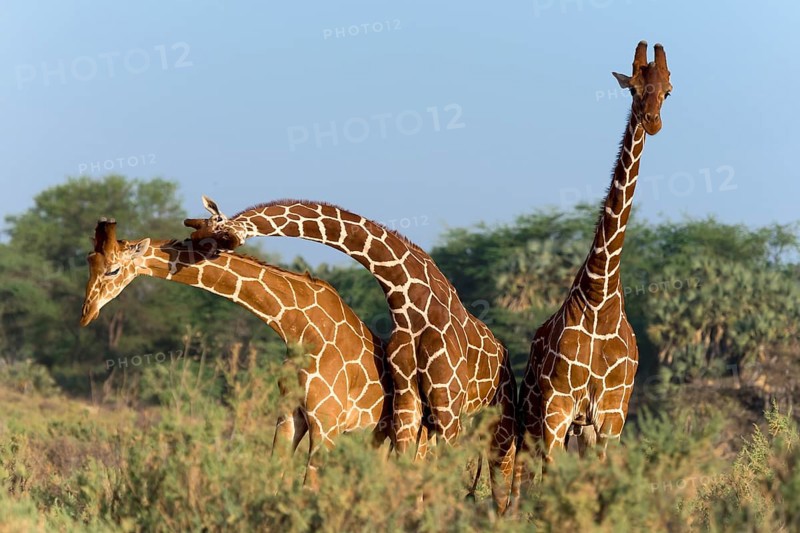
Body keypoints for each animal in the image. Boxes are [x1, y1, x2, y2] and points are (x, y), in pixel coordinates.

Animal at [79, 218, 393, 487]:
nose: (86, 314)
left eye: (113, 270)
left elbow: (309, 488)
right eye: (89, 264)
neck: (299, 328)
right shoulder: (289, 413)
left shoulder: (328, 421)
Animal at [183, 198, 518, 512]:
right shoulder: (407, 403)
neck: (409, 298)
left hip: (497, 423)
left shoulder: (446, 404)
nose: (196, 242)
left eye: (213, 232)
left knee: (501, 485)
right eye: (197, 234)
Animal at [513, 41, 672, 498]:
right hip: (533, 422)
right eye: (633, 89)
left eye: (667, 91)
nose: (652, 123)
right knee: (520, 482)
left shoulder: (610, 417)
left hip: (579, 430)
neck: (600, 295)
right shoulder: (557, 410)